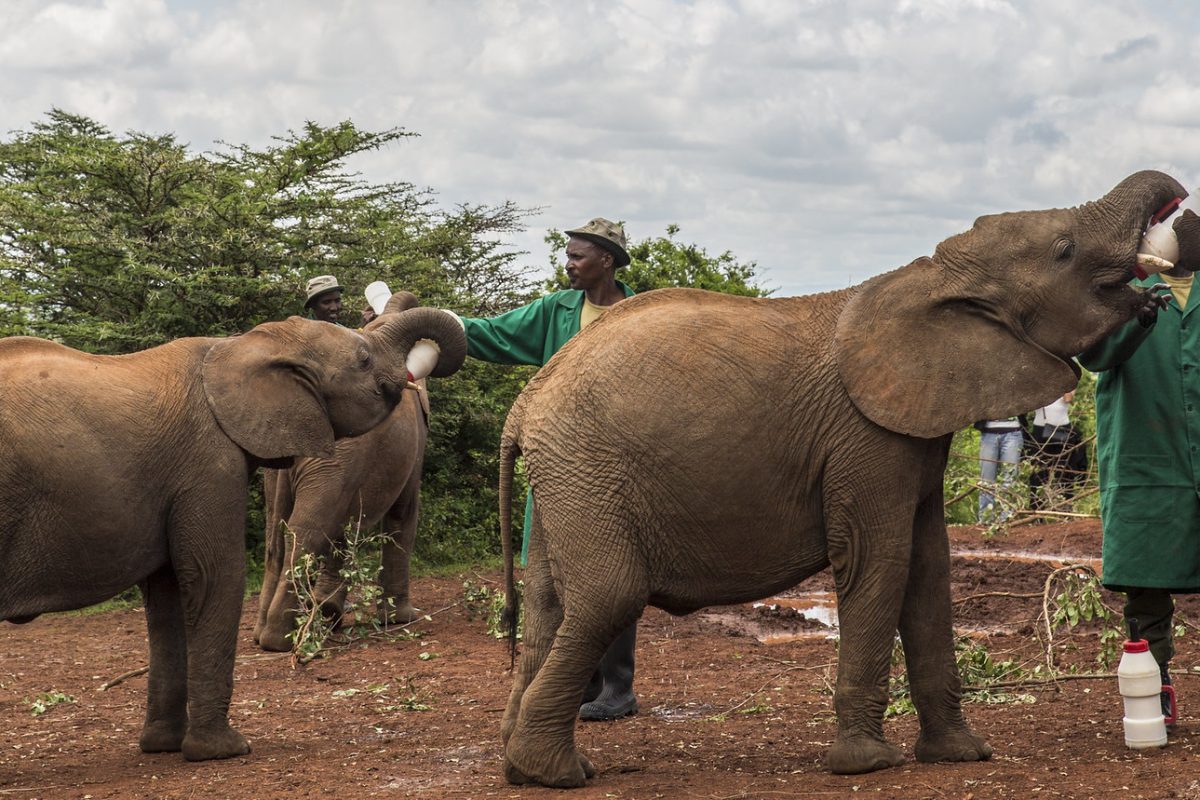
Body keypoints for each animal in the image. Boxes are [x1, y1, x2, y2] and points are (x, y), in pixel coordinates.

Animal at [254, 291, 435, 652]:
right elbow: (403, 513)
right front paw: (402, 619)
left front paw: (330, 611)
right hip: (333, 459)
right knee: (307, 530)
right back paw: (281, 638)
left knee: (277, 534)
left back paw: (266, 632)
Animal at [494, 170, 1186, 787]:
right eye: (1064, 250)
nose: (1160, 288)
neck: (935, 275)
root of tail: (527, 402)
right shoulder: (866, 438)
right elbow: (880, 561)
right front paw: (869, 764)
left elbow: (928, 571)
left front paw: (962, 754)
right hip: (588, 465)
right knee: (609, 596)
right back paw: (555, 774)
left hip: (567, 476)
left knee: (549, 603)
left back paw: (524, 765)